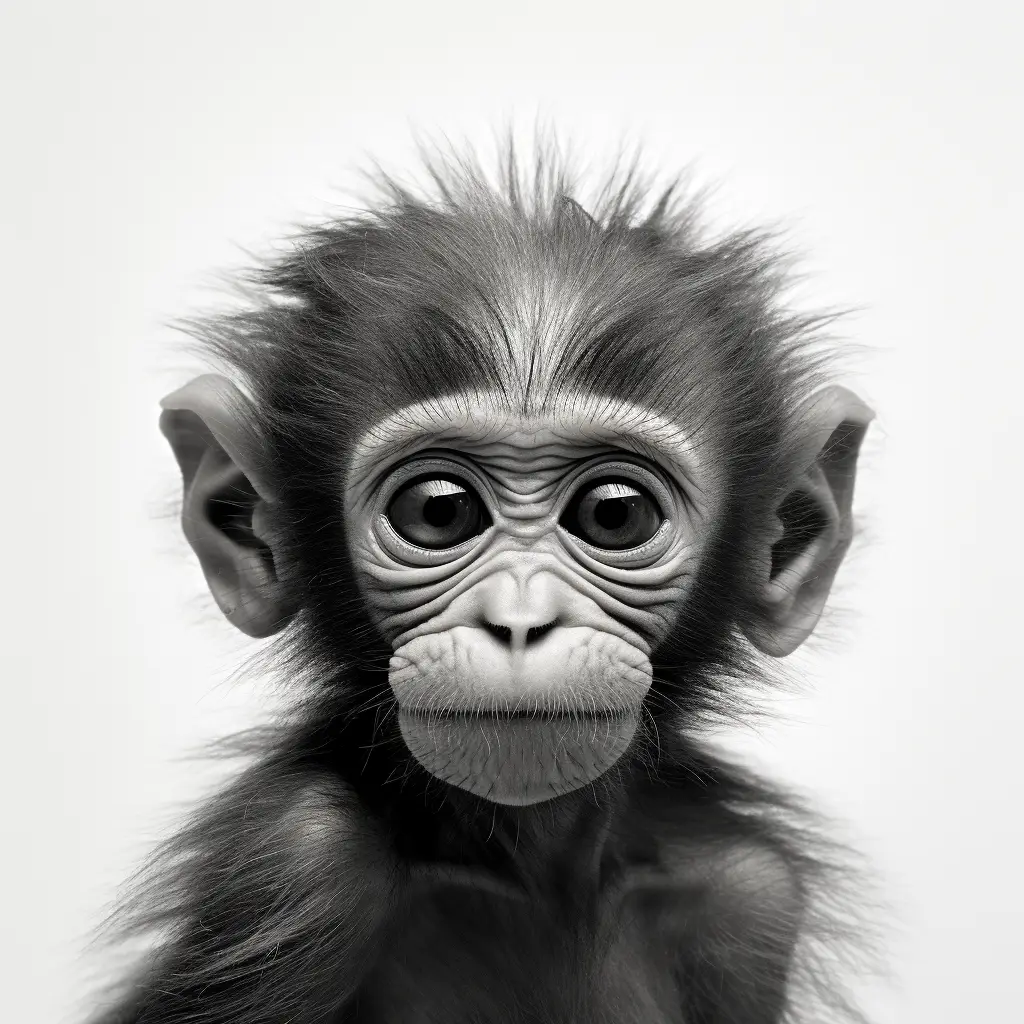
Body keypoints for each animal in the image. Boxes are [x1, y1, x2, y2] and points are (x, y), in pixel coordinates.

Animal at [89, 144, 875, 1024]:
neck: (526, 860)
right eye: (439, 511)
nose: (521, 621)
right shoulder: (288, 865)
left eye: (614, 514)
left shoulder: (754, 897)